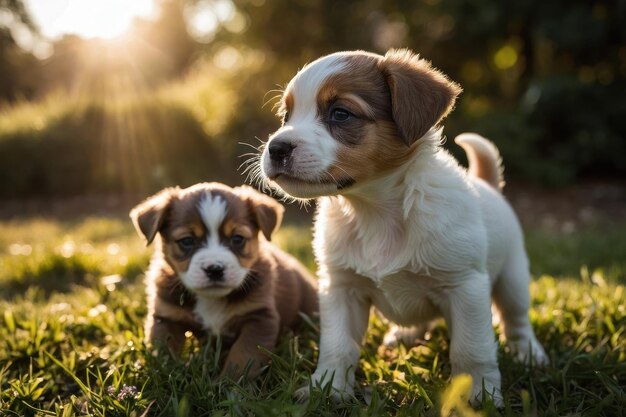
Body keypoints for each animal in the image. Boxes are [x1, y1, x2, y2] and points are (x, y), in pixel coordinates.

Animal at [130, 182, 316, 376]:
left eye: (238, 238)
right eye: (187, 241)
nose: (214, 269)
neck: (210, 299)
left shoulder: (259, 317)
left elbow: (243, 355)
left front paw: (230, 381)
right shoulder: (166, 318)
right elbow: (163, 353)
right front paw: (168, 374)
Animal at [256, 48, 544, 404]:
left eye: (341, 114)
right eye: (287, 116)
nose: (275, 148)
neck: (374, 210)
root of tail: (486, 184)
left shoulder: (465, 287)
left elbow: (471, 349)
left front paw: (479, 395)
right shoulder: (341, 289)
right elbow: (338, 347)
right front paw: (328, 388)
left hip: (513, 279)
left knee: (516, 321)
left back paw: (529, 353)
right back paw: (404, 335)